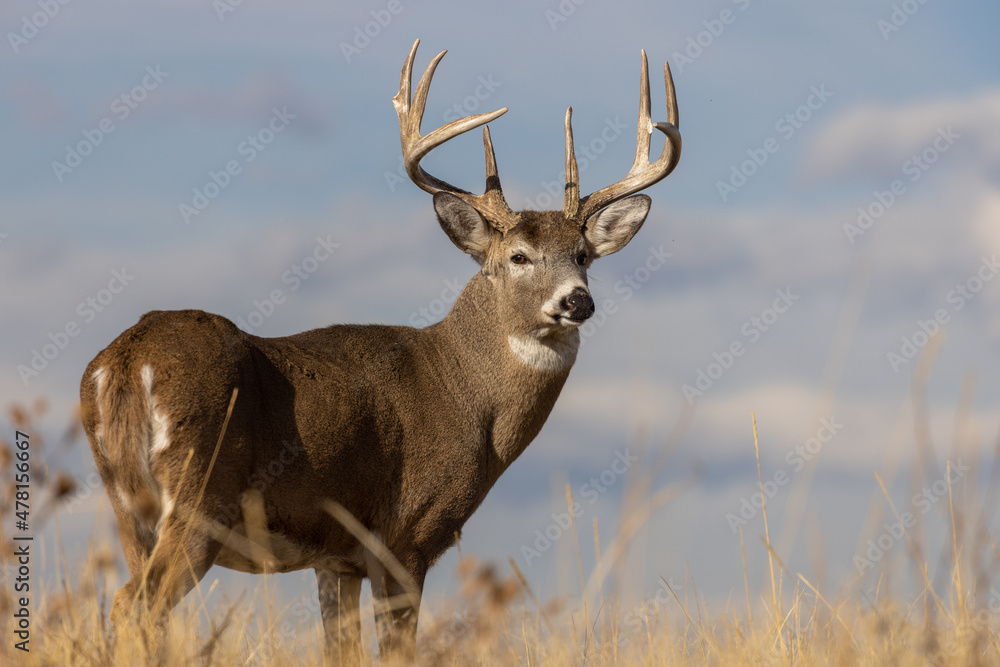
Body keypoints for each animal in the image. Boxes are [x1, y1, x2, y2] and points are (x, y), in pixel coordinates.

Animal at [79, 38, 681, 658]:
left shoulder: (335, 558)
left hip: (128, 507)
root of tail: (124, 361)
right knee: (135, 604)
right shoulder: (405, 534)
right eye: (518, 256)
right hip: (200, 493)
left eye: (583, 255)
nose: (577, 300)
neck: (466, 394)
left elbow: (339, 649)